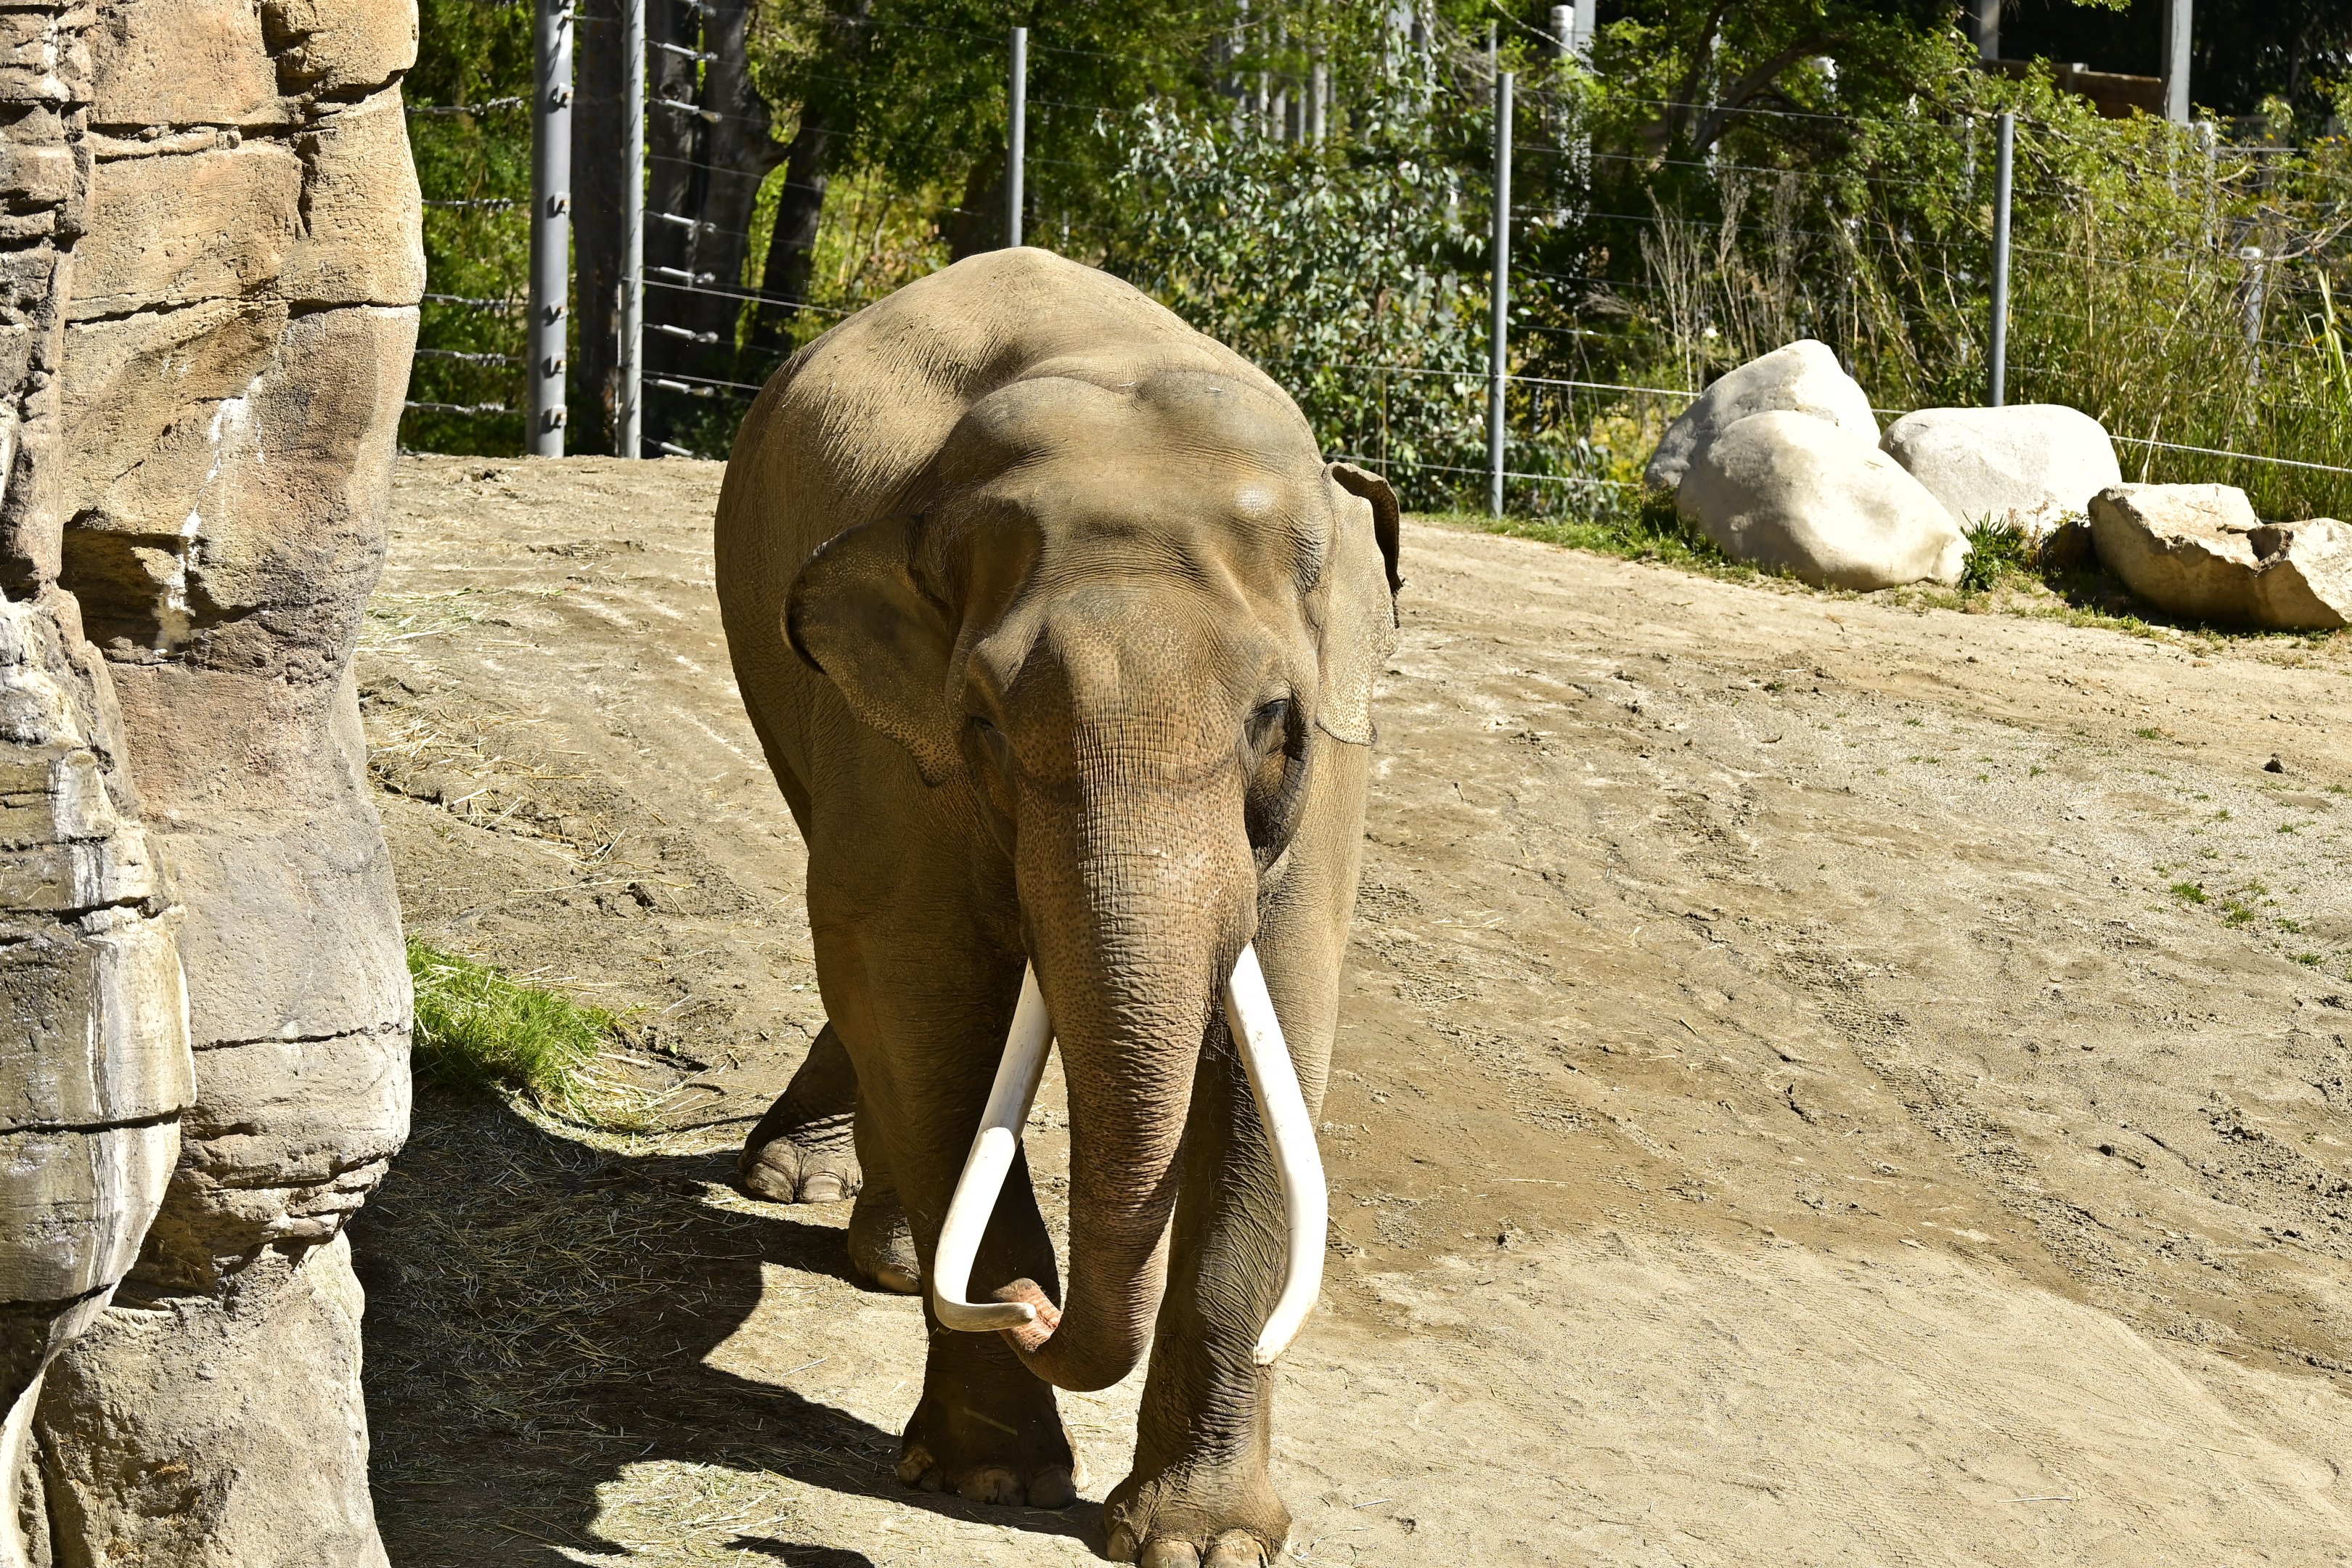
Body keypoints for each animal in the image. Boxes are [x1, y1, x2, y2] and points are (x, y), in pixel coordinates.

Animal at [715, 247, 1400, 1566]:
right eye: (984, 722)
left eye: (1274, 722)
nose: (1028, 1308)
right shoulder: (901, 741)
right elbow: (916, 985)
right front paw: (990, 1482)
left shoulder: (1335, 766)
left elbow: (1285, 1010)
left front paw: (1200, 1545)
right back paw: (838, 1217)